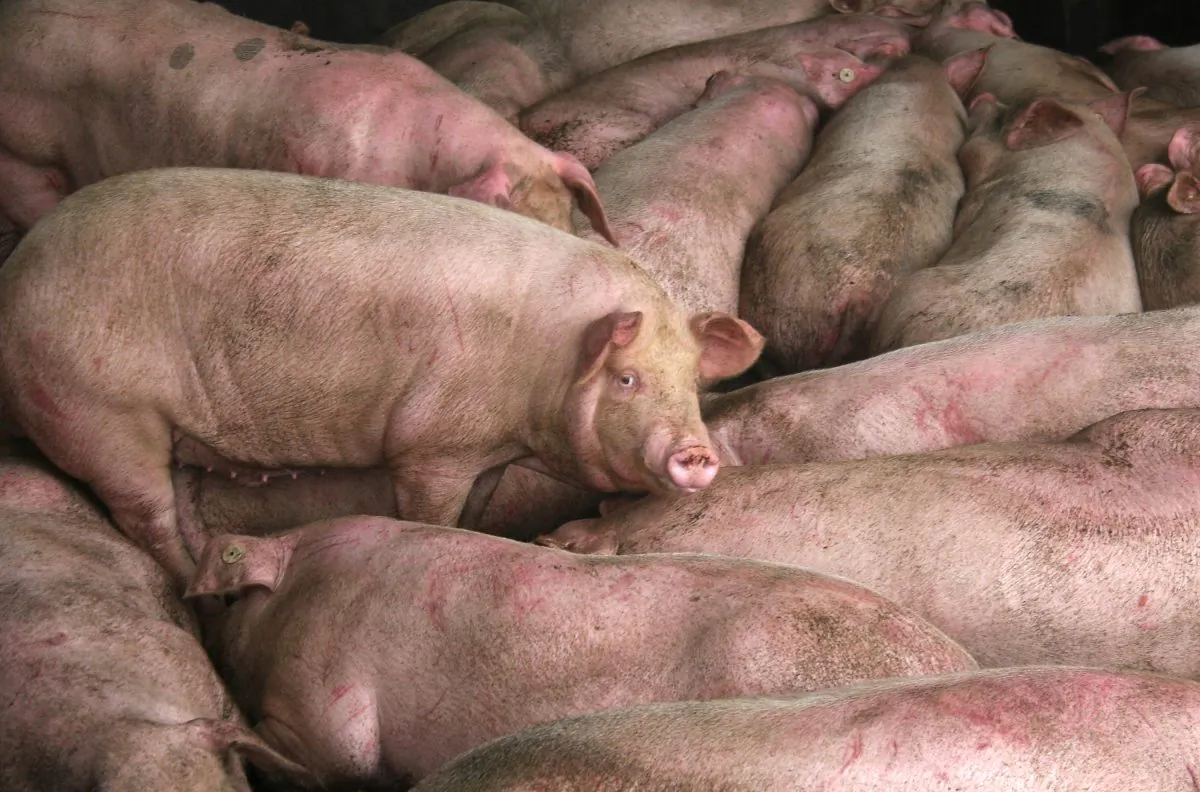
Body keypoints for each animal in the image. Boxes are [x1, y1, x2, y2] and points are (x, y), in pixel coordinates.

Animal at [0, 167, 763, 583]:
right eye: (628, 379)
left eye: (692, 381)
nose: (698, 453)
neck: (545, 360)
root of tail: (17, 271)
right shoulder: (430, 445)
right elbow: (431, 511)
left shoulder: (481, 450)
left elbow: (476, 508)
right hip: (101, 411)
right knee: (143, 514)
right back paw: (190, 584)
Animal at [185, 516, 977, 788]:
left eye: (225, 601)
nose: (195, 609)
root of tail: (963, 664)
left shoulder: (327, 697)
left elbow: (330, 759)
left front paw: (212, 730)